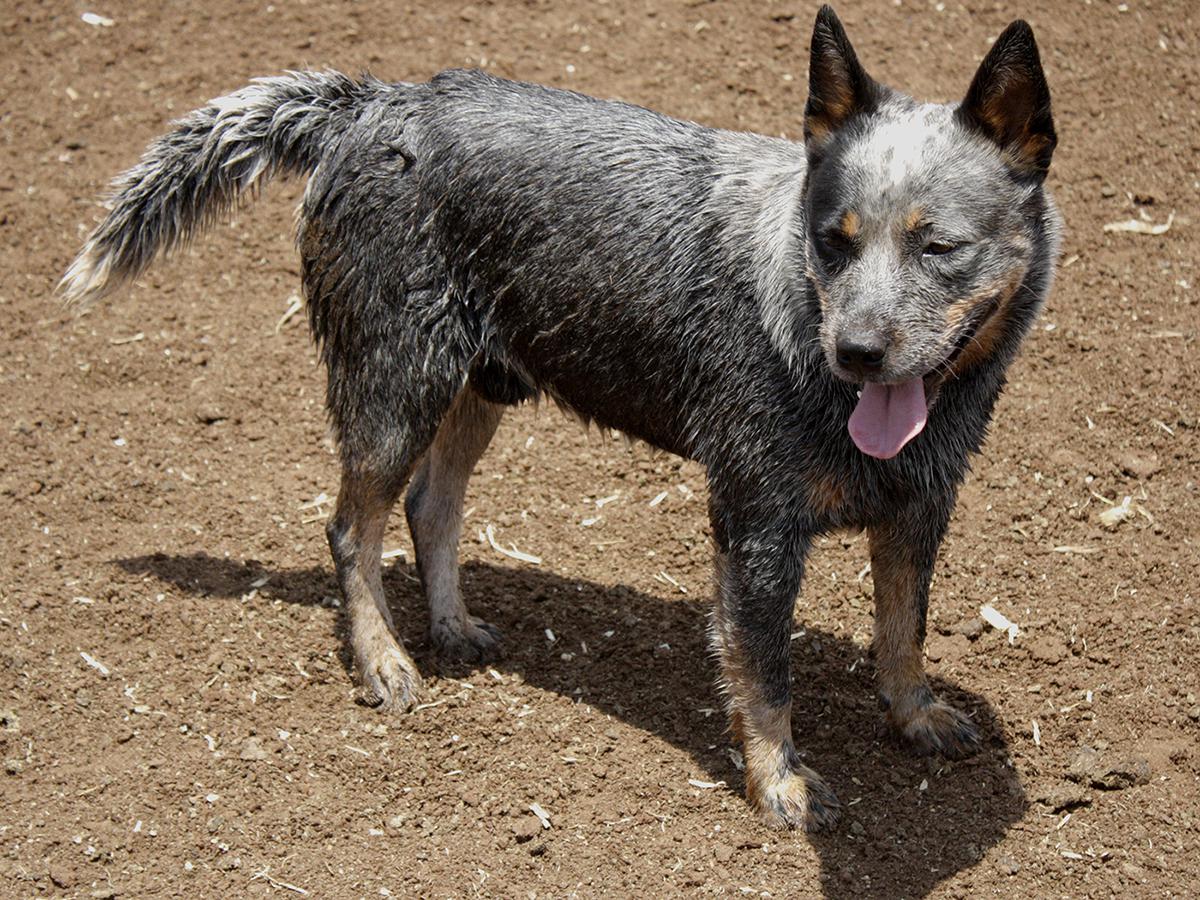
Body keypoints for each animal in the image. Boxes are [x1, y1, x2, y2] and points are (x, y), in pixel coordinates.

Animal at [63, 7, 1060, 830]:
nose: (854, 351)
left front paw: (914, 712)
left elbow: (905, 628)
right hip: (395, 387)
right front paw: (779, 781)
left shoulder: (921, 507)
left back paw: (452, 627)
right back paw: (384, 659)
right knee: (351, 526)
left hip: (482, 383)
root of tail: (373, 103)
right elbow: (765, 671)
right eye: (832, 241)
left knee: (430, 507)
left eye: (939, 247)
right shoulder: (757, 524)